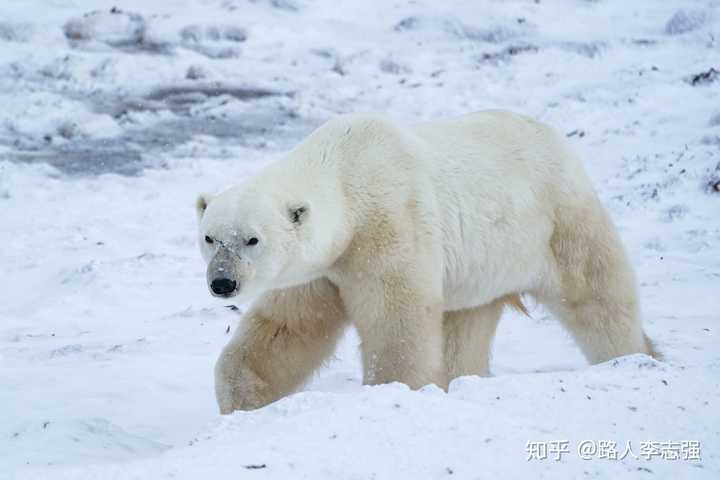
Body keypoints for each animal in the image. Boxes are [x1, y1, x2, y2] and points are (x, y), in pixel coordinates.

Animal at [197, 111, 660, 412]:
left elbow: (396, 320)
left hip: (558, 221)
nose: (222, 283)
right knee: (466, 325)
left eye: (252, 239)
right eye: (210, 237)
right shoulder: (321, 266)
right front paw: (243, 397)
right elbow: (288, 327)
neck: (347, 174)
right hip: (482, 266)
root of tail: (554, 137)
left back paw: (634, 358)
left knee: (597, 296)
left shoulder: (388, 226)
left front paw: (393, 389)